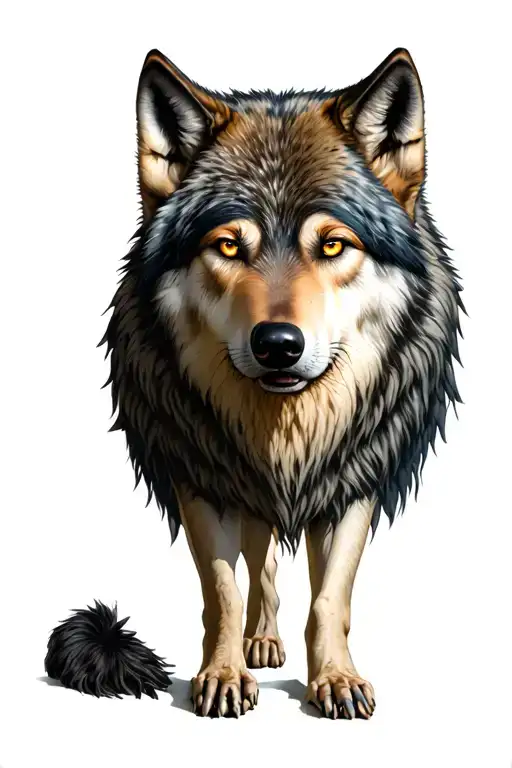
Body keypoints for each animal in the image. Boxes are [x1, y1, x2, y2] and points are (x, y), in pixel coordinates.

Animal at [101, 47, 463, 719]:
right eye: (227, 246)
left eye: (332, 244)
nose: (277, 345)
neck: (289, 436)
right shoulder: (203, 478)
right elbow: (223, 592)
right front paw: (222, 674)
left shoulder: (353, 481)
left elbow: (330, 597)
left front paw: (336, 679)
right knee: (261, 562)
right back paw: (261, 643)